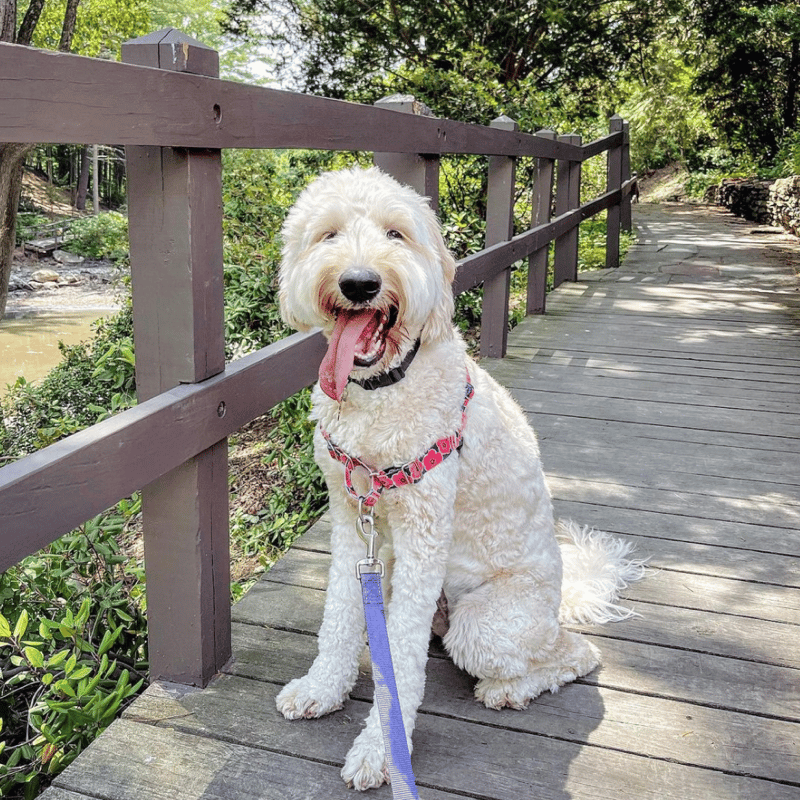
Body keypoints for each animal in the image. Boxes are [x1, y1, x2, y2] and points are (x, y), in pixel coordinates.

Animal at [276, 166, 644, 792]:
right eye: (328, 234)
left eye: (396, 234)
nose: (359, 283)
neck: (382, 391)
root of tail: (558, 605)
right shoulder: (352, 521)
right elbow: (339, 615)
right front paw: (322, 689)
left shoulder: (425, 533)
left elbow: (400, 659)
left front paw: (382, 751)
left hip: (487, 624)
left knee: (576, 655)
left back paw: (508, 690)